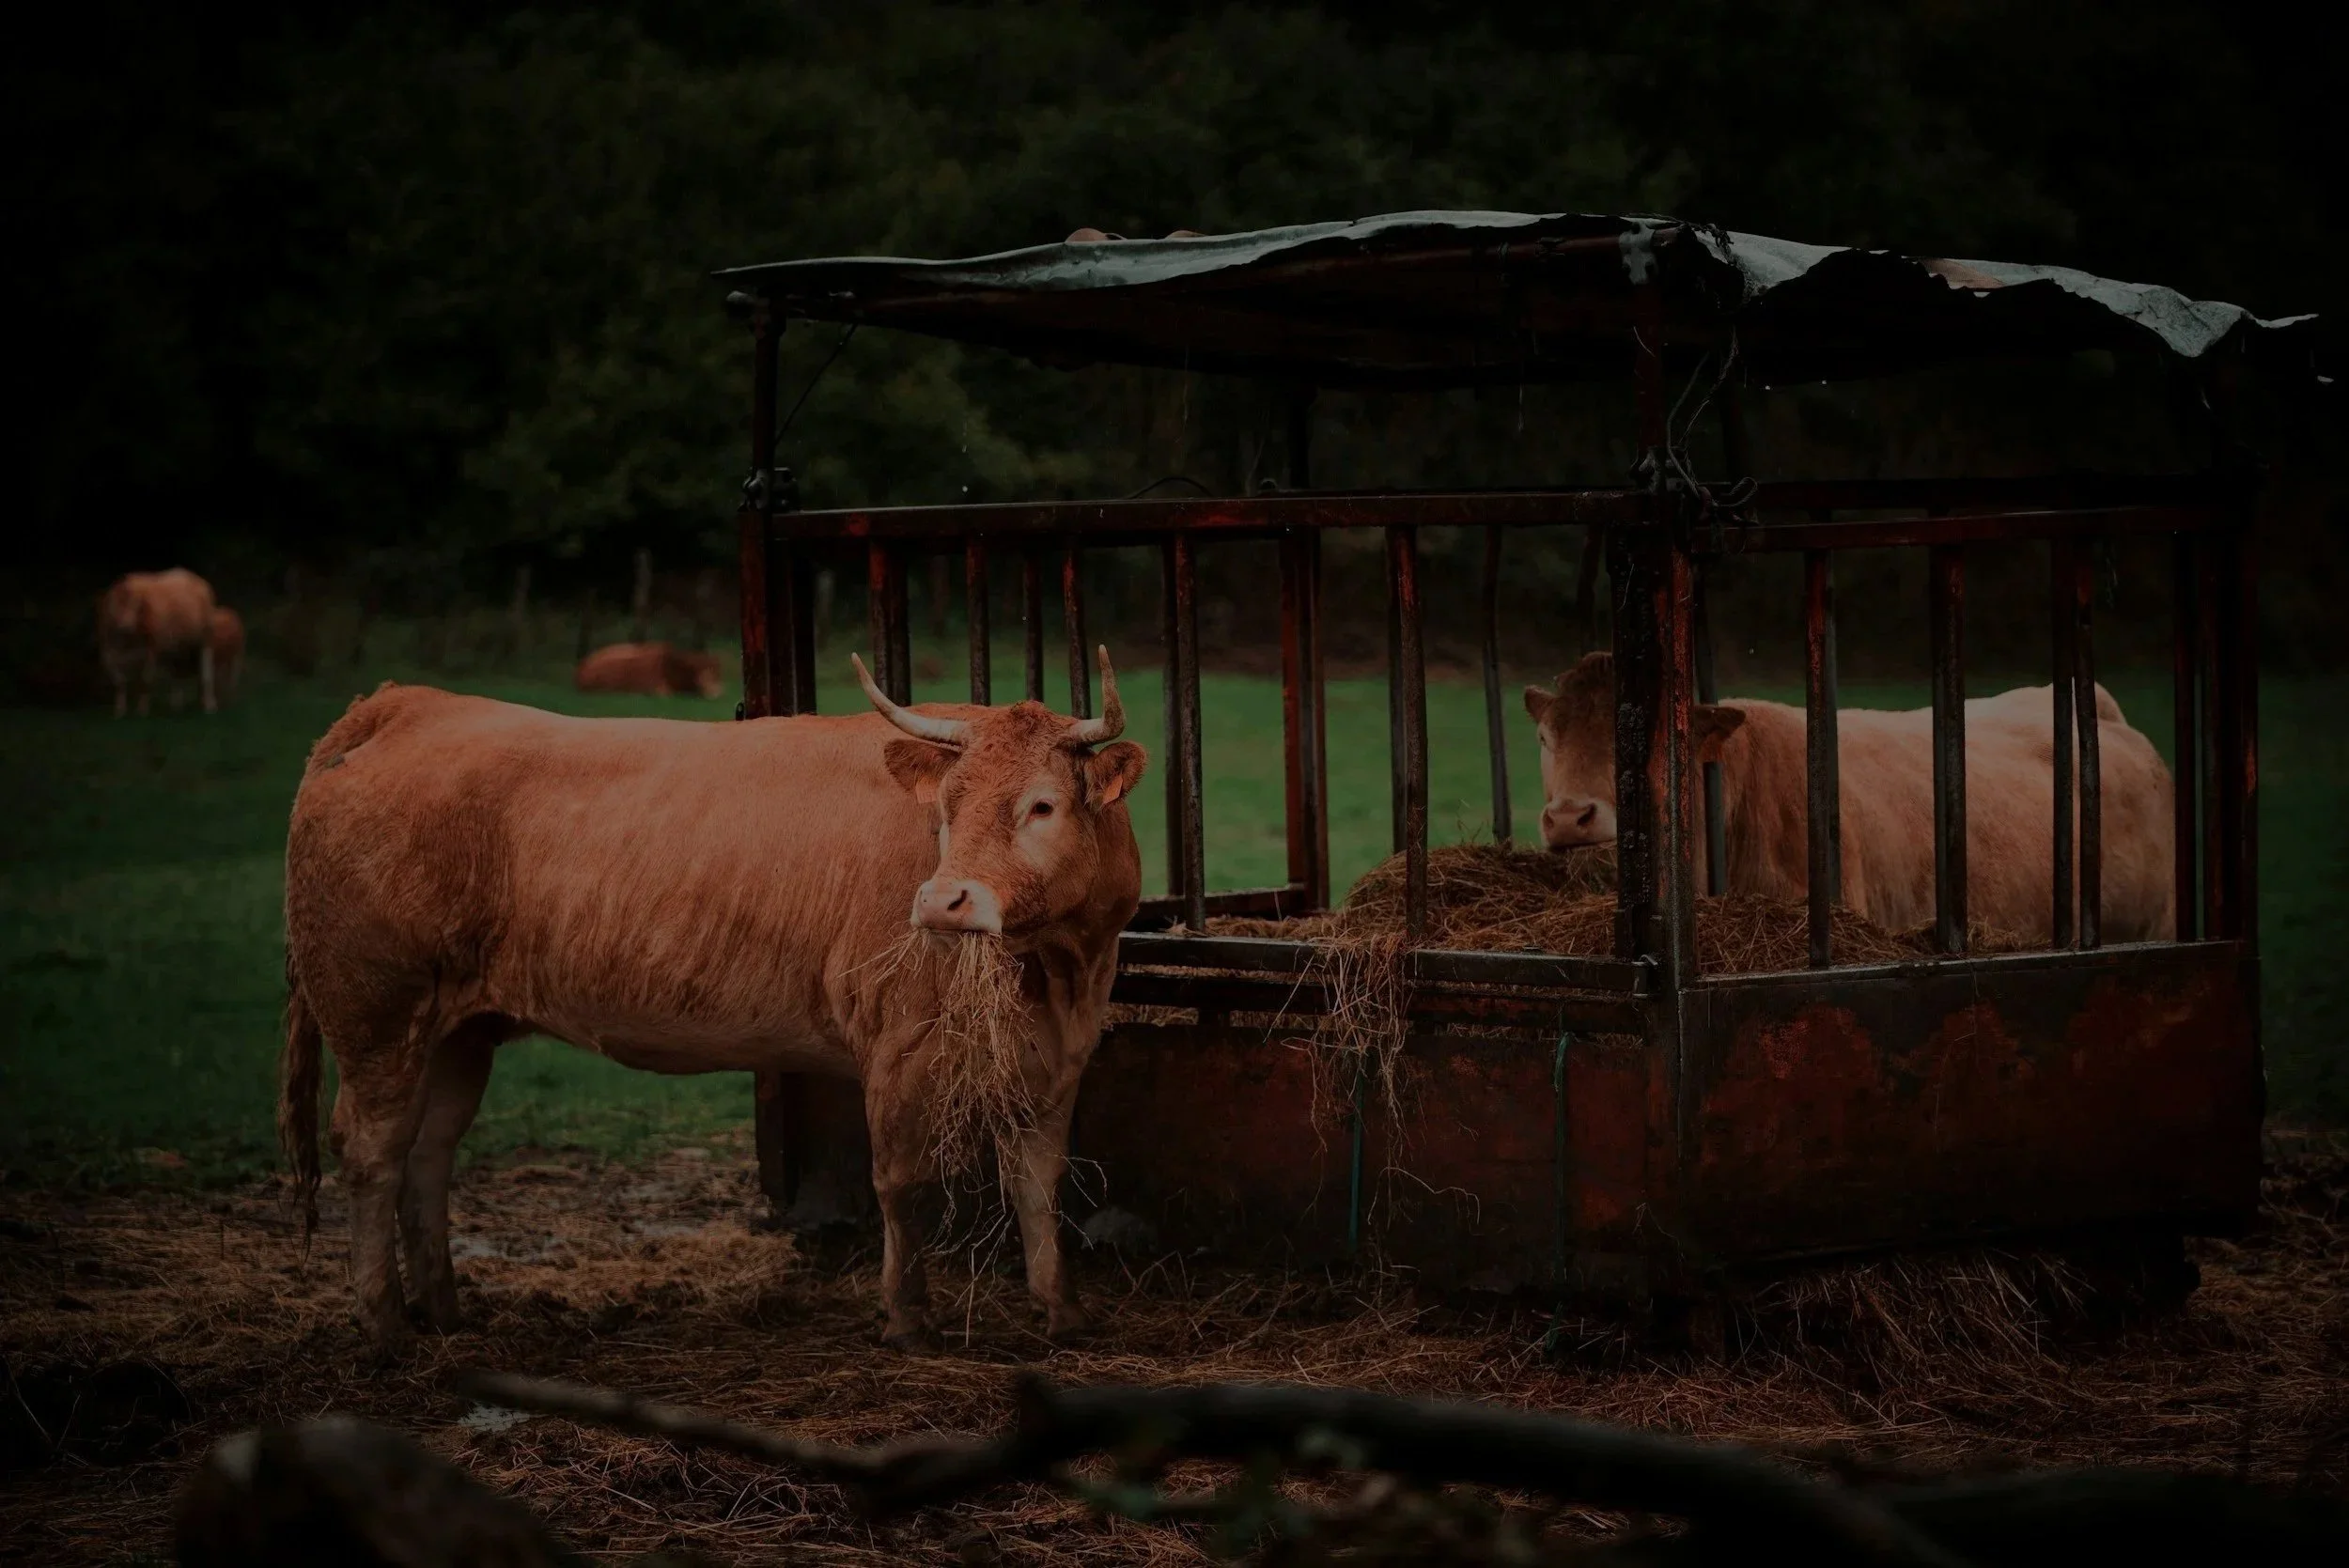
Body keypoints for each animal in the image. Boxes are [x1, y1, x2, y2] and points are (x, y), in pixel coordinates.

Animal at [97, 568, 218, 717]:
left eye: (137, 606)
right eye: (116, 605)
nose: (126, 626)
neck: (127, 642)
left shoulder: (151, 650)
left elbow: (145, 680)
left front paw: (142, 710)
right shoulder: (108, 653)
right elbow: (120, 682)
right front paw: (119, 711)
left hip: (206, 638)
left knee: (207, 671)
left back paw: (210, 705)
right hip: (178, 646)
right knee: (179, 671)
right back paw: (177, 706)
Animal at [279, 650, 1145, 1349]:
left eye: (1042, 803)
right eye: (947, 806)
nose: (941, 901)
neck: (1058, 968)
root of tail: (403, 703)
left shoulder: (1060, 1053)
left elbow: (1039, 1181)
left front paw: (1063, 1311)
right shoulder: (898, 1043)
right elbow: (903, 1184)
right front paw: (907, 1320)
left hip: (458, 1031)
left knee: (429, 1151)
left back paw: (444, 1309)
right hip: (375, 1012)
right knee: (371, 1148)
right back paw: (385, 1324)